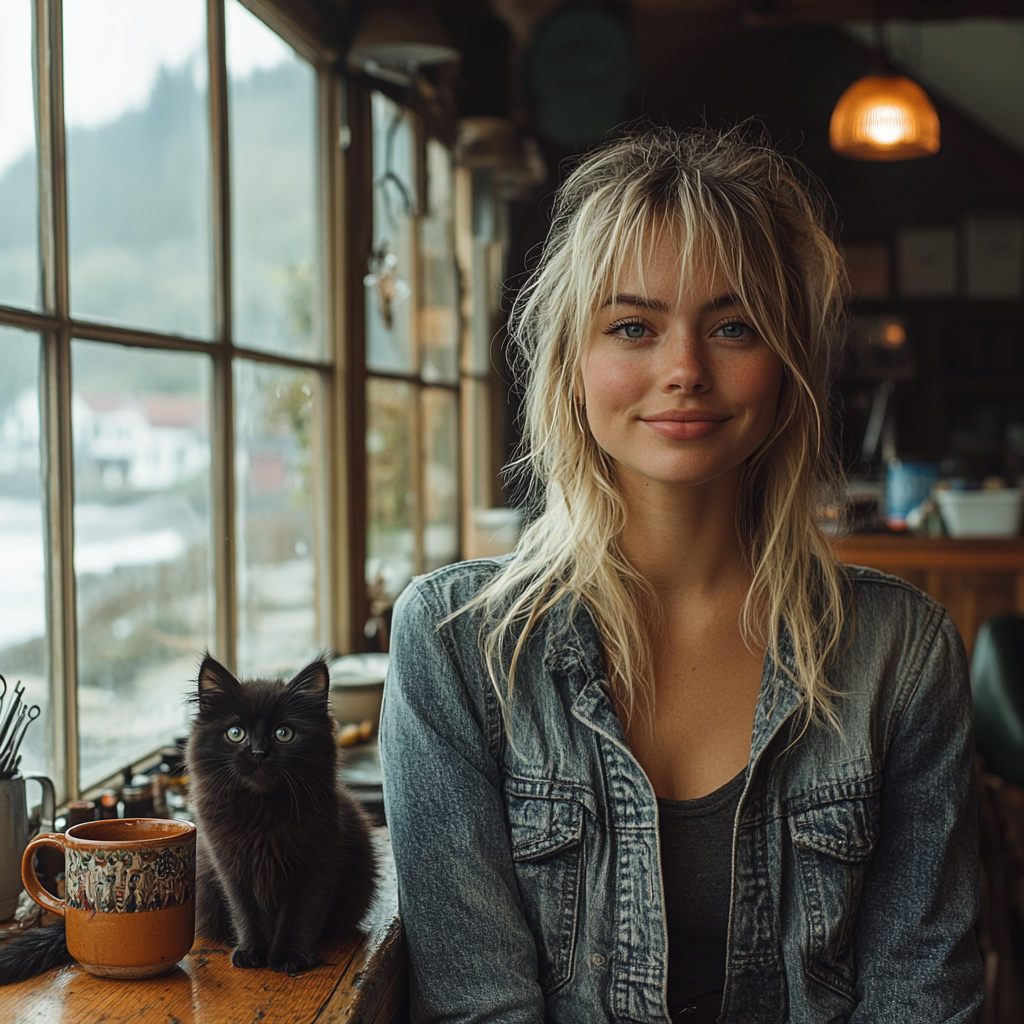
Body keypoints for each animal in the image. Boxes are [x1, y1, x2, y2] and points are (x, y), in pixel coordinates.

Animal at [186, 655, 378, 974]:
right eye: (236, 733)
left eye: (283, 733)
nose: (258, 753)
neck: (263, 812)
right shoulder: (231, 868)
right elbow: (246, 912)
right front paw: (251, 951)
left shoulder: (319, 864)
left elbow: (302, 913)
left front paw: (289, 957)